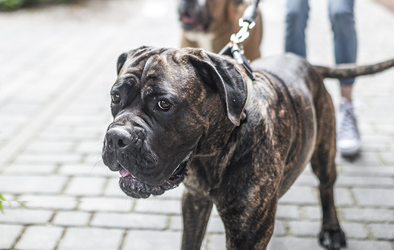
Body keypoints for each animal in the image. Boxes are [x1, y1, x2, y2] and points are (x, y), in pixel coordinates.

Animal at [101, 46, 394, 249]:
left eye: (164, 104)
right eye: (115, 97)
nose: (116, 137)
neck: (212, 156)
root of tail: (307, 63)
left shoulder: (246, 235)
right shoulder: (194, 202)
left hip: (323, 151)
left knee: (326, 187)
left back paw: (332, 229)